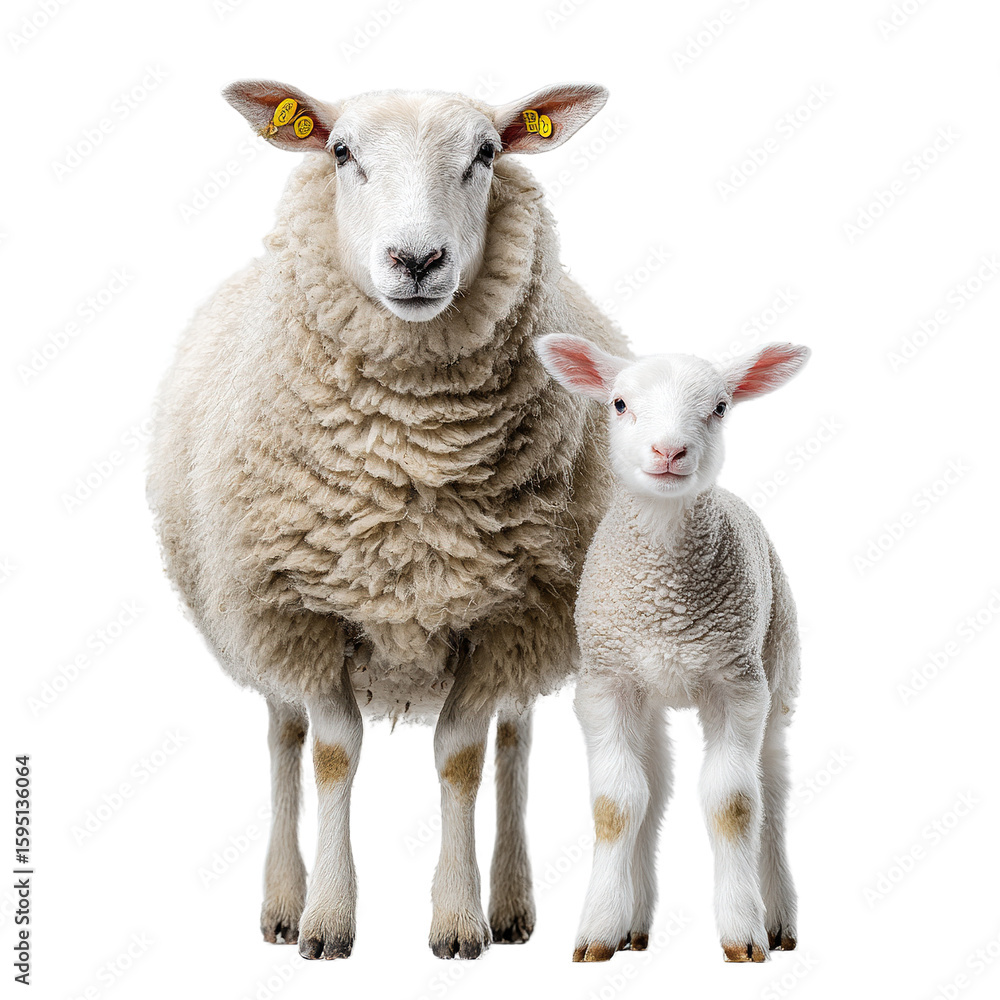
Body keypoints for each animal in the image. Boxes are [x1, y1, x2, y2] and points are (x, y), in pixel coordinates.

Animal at [147, 79, 627, 961]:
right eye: (341, 152)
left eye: (486, 153)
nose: (417, 261)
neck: (412, 466)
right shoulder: (306, 610)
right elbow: (333, 755)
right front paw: (328, 920)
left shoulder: (503, 616)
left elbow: (463, 759)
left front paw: (459, 920)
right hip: (257, 618)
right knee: (283, 737)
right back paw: (281, 902)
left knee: (515, 738)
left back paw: (512, 903)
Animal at [535, 333, 809, 963]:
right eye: (618, 403)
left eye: (721, 407)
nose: (669, 451)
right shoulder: (605, 682)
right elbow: (617, 805)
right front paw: (598, 930)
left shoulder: (737, 684)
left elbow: (734, 804)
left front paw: (742, 934)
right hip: (647, 692)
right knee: (653, 787)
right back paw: (633, 926)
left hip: (778, 666)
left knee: (773, 786)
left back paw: (778, 920)